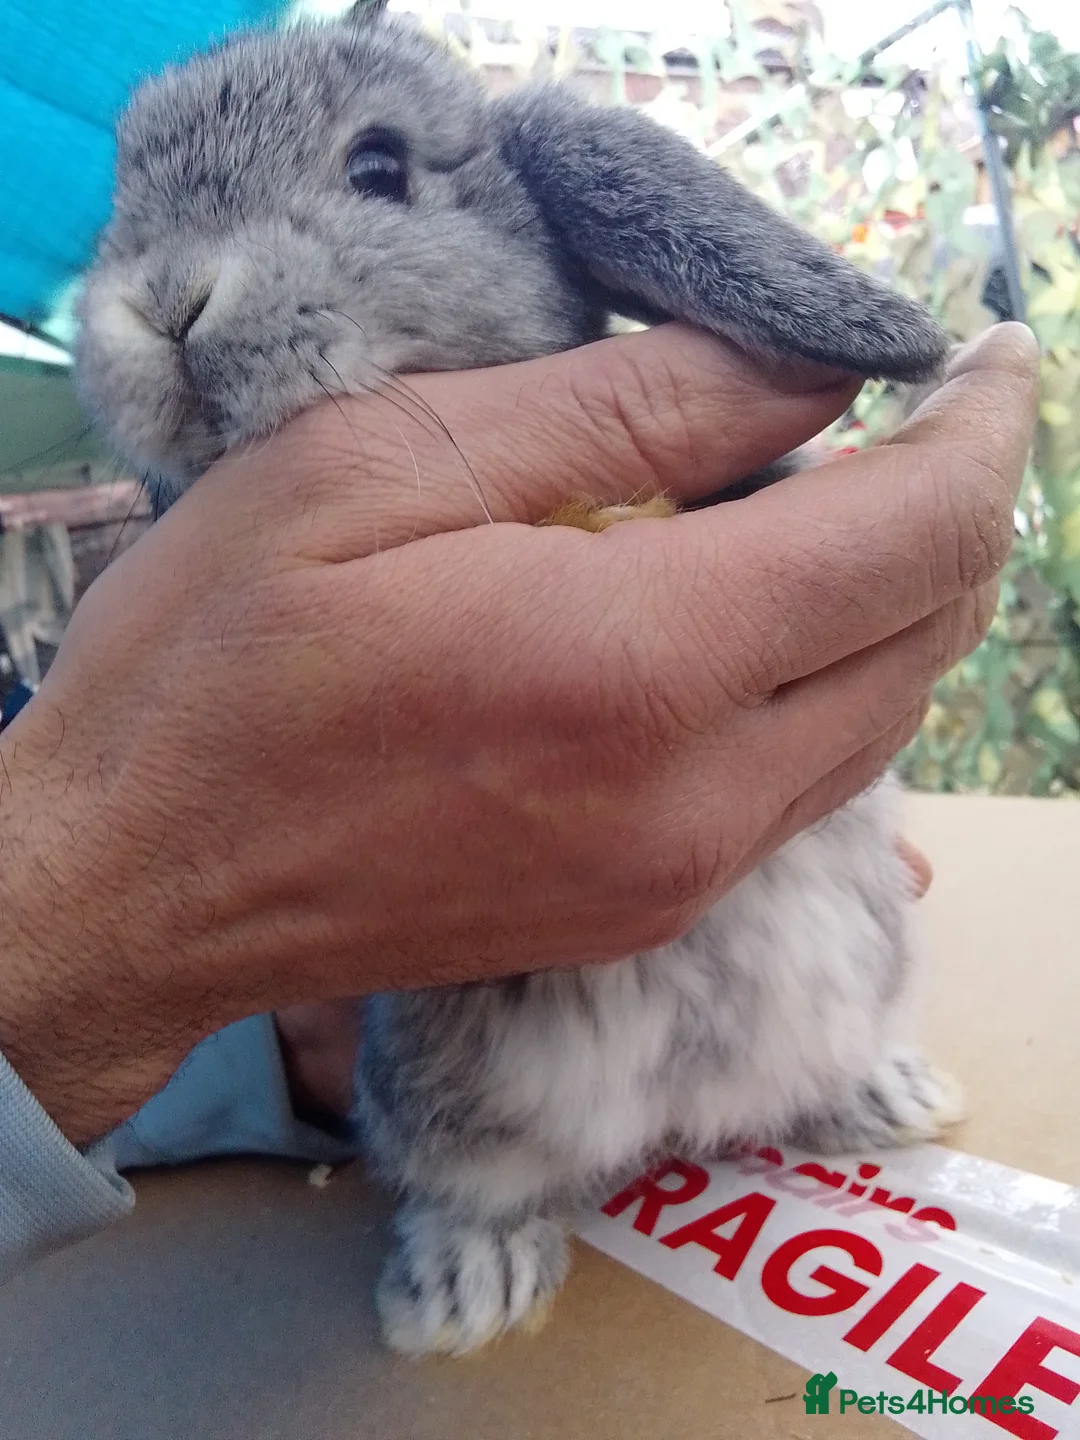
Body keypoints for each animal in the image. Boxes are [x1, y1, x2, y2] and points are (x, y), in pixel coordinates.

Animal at [74, 1, 963, 1358]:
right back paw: (465, 1291)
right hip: (454, 1088)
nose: (165, 305)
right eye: (124, 199)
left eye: (377, 167)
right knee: (478, 1183)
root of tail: (683, 1113)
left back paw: (888, 1094)